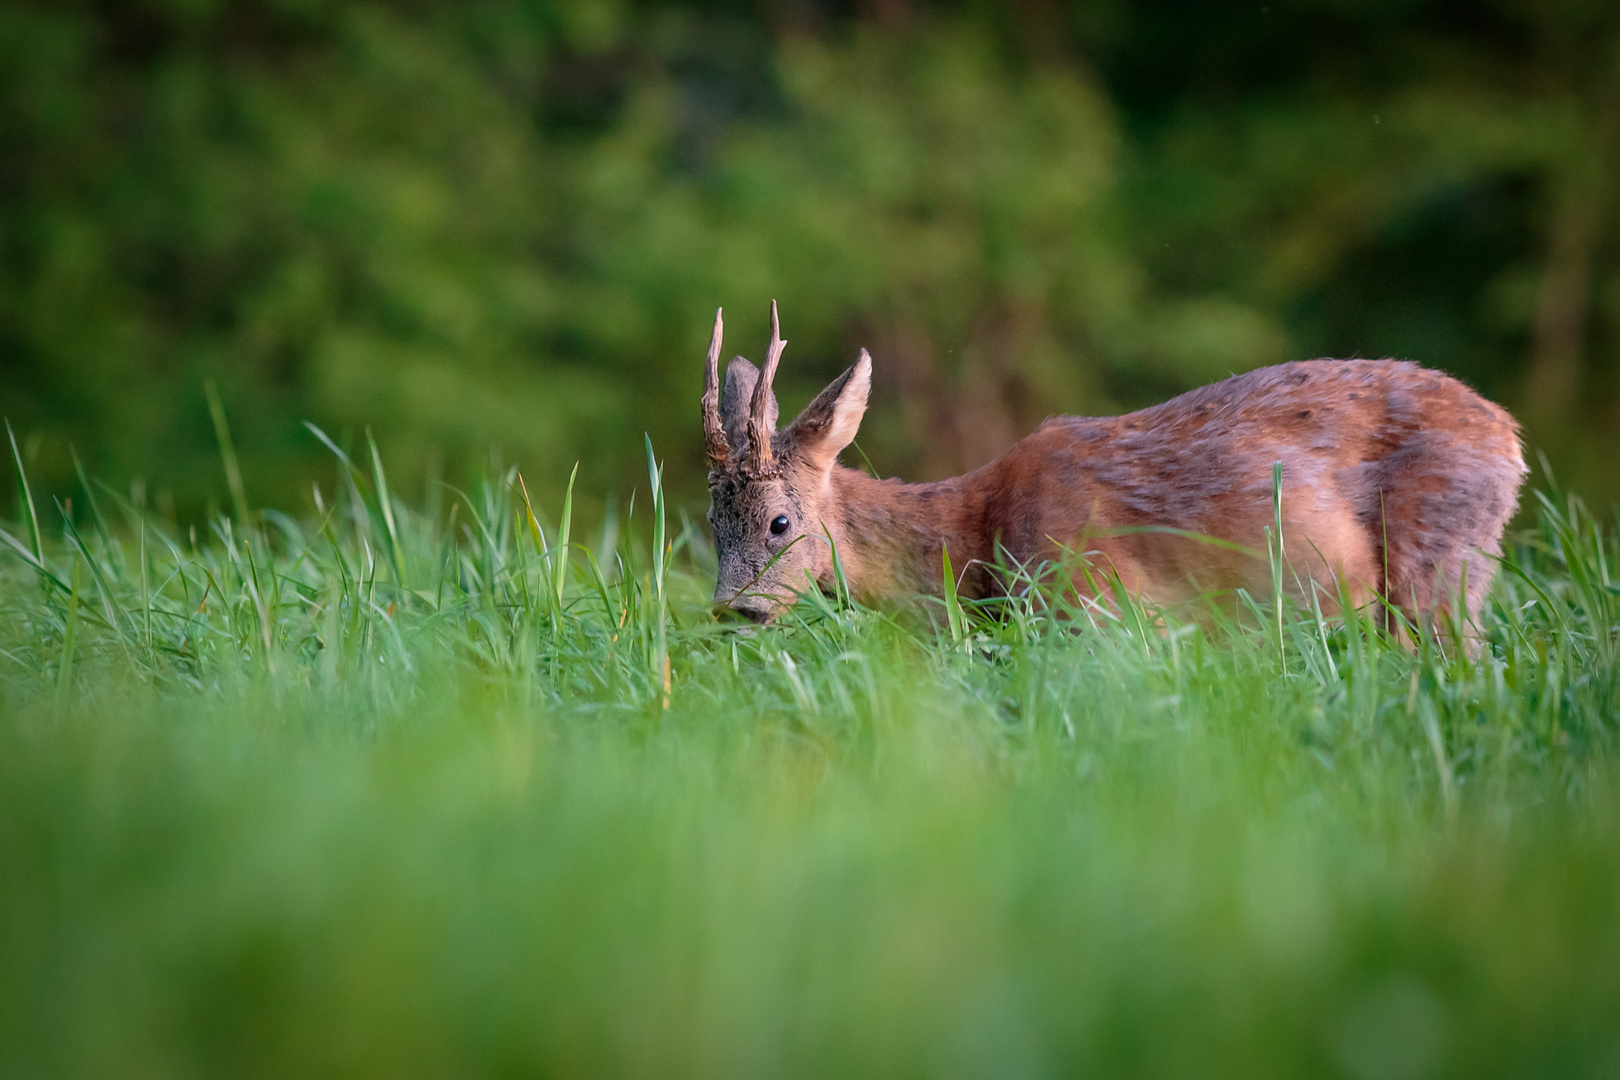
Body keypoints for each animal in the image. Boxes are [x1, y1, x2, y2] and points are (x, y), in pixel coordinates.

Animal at [703, 299, 1522, 637]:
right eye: (711, 523)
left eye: (781, 522)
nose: (732, 609)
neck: (971, 540)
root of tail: (1508, 435)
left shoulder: (1096, 607)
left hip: (1436, 563)